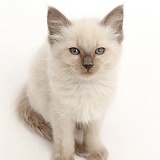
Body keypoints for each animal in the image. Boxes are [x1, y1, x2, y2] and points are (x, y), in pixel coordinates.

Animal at [16, 4, 123, 160]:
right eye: (74, 51)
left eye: (99, 51)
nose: (88, 65)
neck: (85, 87)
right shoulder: (61, 116)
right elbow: (65, 141)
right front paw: (65, 157)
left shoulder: (96, 113)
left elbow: (92, 136)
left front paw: (94, 152)